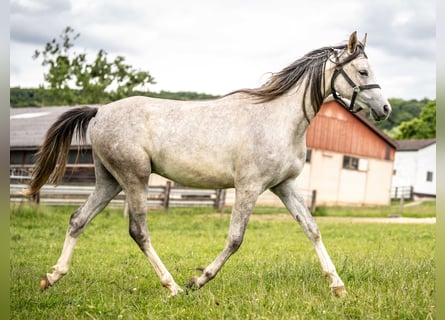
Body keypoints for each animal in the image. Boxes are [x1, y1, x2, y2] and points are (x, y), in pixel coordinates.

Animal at [26, 32, 390, 298]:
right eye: (362, 72)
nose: (385, 109)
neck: (279, 119)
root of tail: (100, 111)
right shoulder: (248, 188)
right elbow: (235, 239)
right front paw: (199, 280)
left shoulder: (283, 186)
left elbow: (312, 228)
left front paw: (337, 285)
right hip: (135, 178)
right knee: (138, 231)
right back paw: (173, 287)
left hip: (109, 181)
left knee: (78, 220)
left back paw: (51, 277)